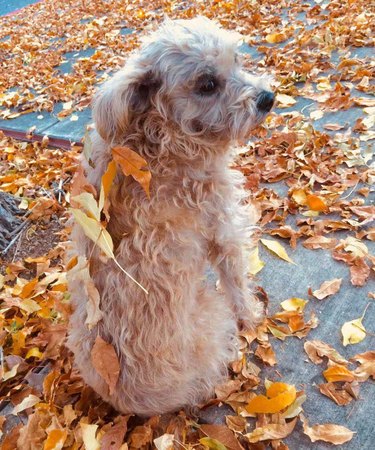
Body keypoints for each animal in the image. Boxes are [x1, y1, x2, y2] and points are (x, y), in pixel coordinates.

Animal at [67, 15, 274, 416]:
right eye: (207, 84)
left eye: (237, 59)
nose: (267, 98)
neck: (163, 140)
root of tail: (130, 402)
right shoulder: (224, 232)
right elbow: (237, 284)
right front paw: (252, 316)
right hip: (211, 311)